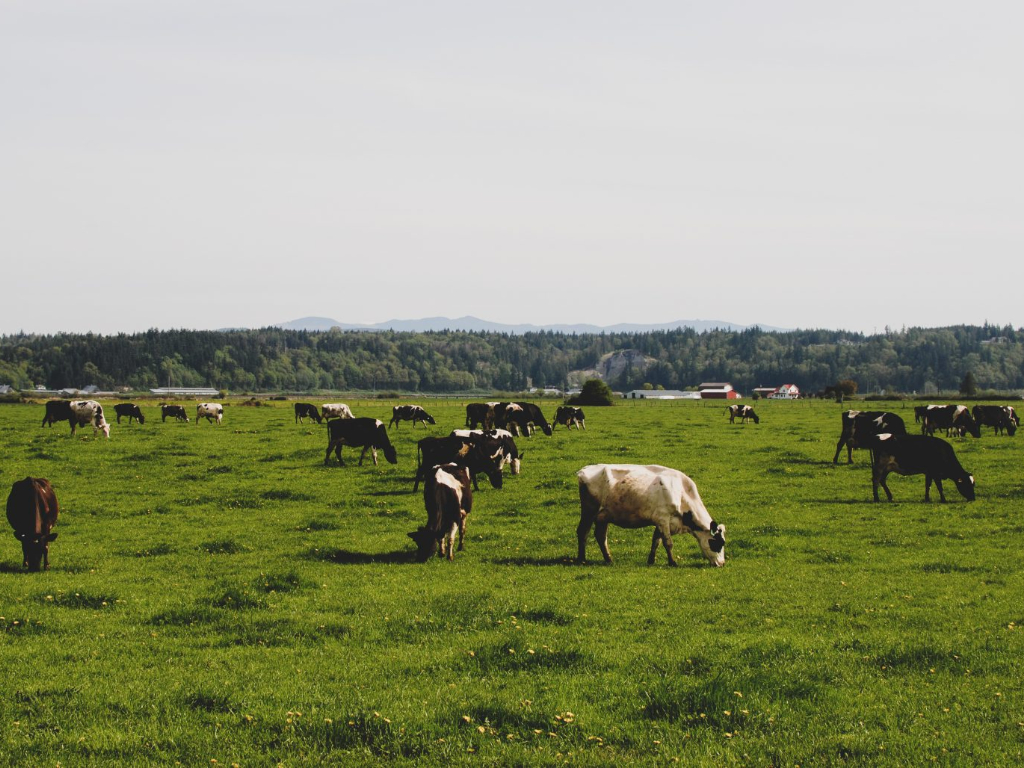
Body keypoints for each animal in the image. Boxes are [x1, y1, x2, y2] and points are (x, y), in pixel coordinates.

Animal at [577, 466, 729, 569]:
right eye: (718, 543)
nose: (722, 563)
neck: (681, 492)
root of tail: (584, 470)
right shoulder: (663, 518)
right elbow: (668, 543)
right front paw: (672, 562)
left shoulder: (662, 522)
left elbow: (656, 541)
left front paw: (651, 560)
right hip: (589, 511)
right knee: (582, 531)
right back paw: (582, 559)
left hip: (603, 516)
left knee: (601, 536)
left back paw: (608, 559)